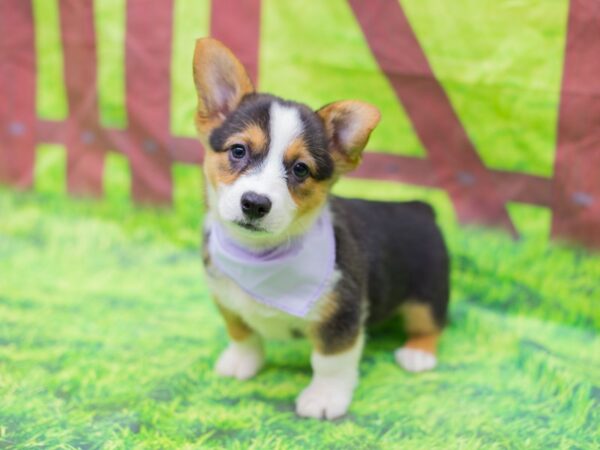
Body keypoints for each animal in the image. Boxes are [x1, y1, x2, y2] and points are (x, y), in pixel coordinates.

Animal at [195, 38, 448, 422]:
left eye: (300, 169)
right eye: (238, 150)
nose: (255, 203)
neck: (259, 256)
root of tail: (421, 208)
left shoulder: (341, 316)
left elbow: (330, 362)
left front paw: (324, 398)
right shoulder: (226, 299)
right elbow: (242, 333)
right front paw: (241, 362)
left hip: (428, 293)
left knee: (430, 324)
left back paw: (418, 353)